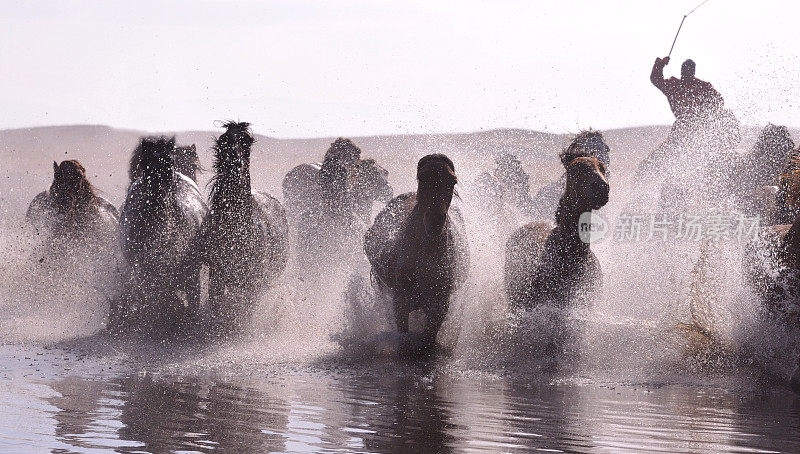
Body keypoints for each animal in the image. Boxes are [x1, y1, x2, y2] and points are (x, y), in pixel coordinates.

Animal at [192, 122, 290, 332]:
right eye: (224, 140)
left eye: (247, 142)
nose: (236, 165)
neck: (237, 228)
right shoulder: (217, 275)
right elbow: (217, 306)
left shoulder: (254, 280)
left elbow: (246, 312)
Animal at [364, 154, 468, 350]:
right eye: (422, 177)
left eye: (452, 181)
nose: (435, 221)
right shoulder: (400, 304)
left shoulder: (439, 307)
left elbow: (428, 339)